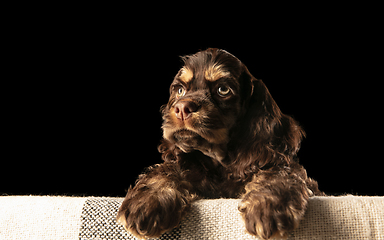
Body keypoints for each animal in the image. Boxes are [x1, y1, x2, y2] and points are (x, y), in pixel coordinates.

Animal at [117, 47, 324, 239]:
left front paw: (269, 207)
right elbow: (167, 169)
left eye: (223, 90)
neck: (218, 161)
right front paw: (146, 202)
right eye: (180, 90)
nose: (182, 108)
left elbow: (280, 171)